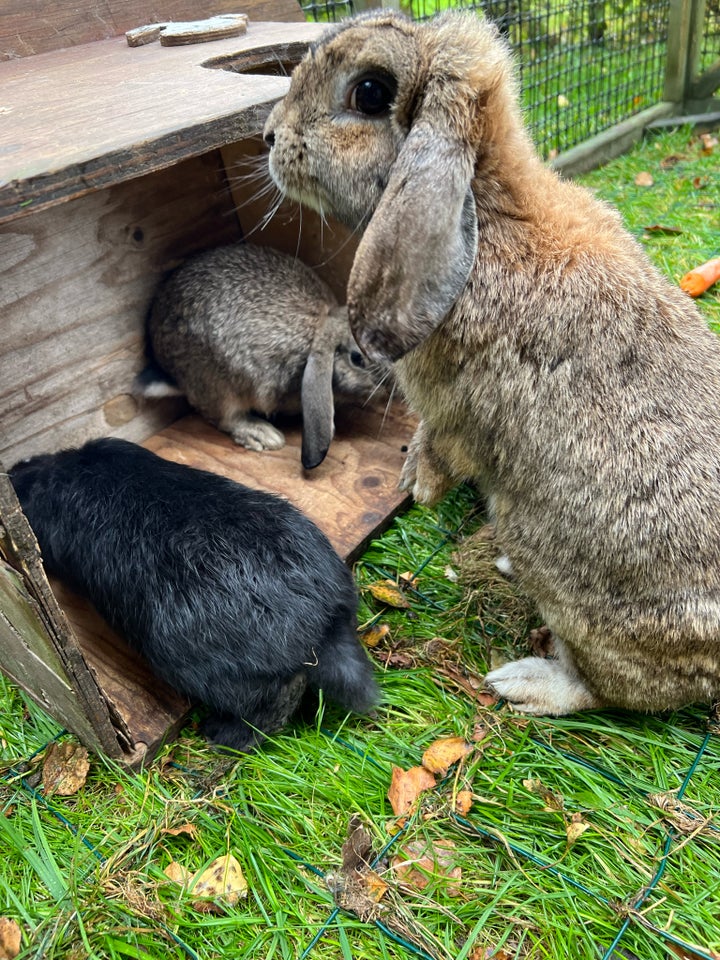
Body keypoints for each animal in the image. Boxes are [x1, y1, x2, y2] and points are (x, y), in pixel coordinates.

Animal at [139, 244, 388, 468]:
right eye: (357, 359)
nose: (390, 390)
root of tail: (170, 371)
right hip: (218, 385)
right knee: (224, 417)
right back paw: (263, 435)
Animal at [262, 7, 720, 712]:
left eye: (369, 93)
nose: (268, 135)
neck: (488, 203)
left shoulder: (457, 413)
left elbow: (447, 445)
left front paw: (419, 488)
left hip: (564, 578)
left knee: (608, 690)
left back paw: (524, 682)